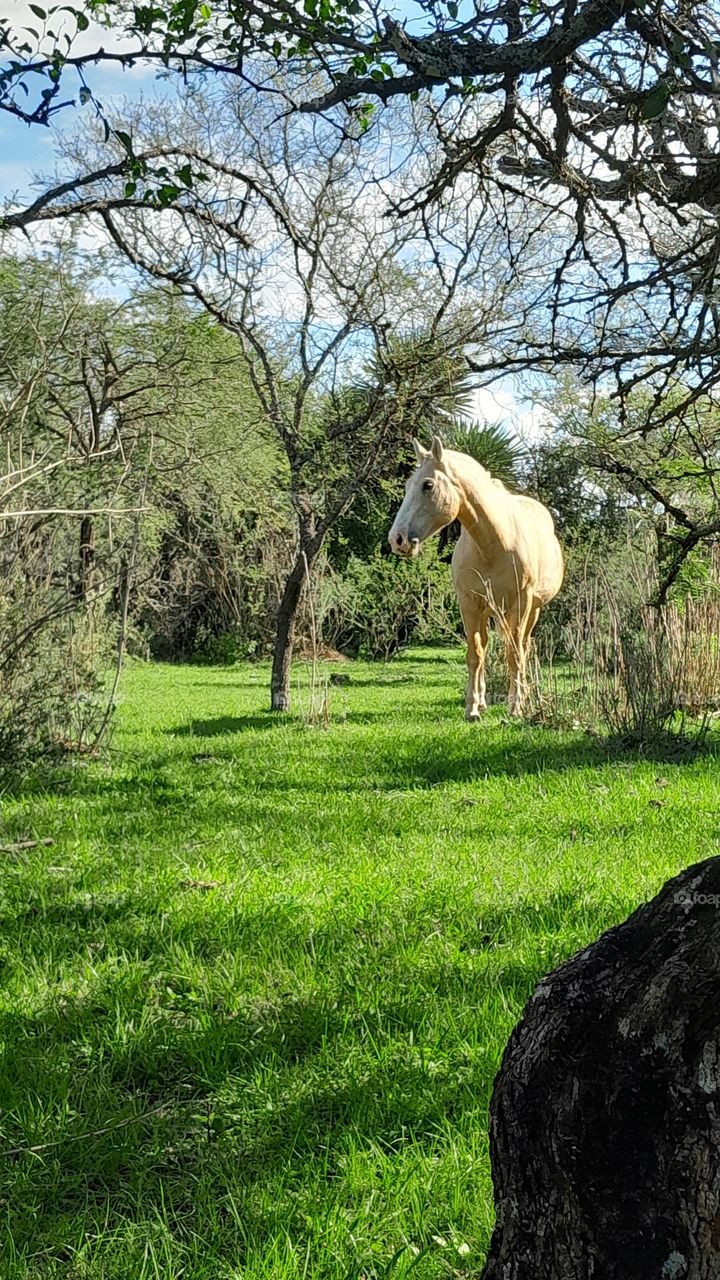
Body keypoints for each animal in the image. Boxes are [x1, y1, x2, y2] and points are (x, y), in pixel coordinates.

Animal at [388, 436, 564, 717]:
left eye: (428, 485)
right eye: (406, 485)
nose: (398, 539)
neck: (495, 541)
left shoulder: (521, 603)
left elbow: (514, 653)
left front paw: (515, 707)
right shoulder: (469, 602)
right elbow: (475, 653)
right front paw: (472, 709)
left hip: (531, 609)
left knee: (523, 646)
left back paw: (524, 695)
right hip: (487, 609)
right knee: (487, 646)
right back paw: (482, 700)